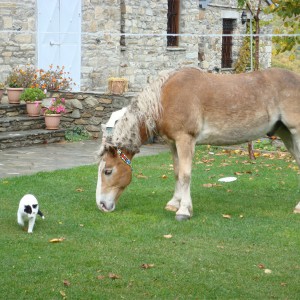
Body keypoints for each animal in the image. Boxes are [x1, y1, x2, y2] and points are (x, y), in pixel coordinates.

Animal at [96, 67, 300, 219]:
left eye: (108, 171)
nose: (101, 205)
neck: (165, 98)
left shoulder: (185, 139)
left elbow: (185, 175)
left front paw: (184, 210)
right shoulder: (173, 143)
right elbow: (177, 173)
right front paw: (174, 203)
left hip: (296, 133)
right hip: (286, 134)